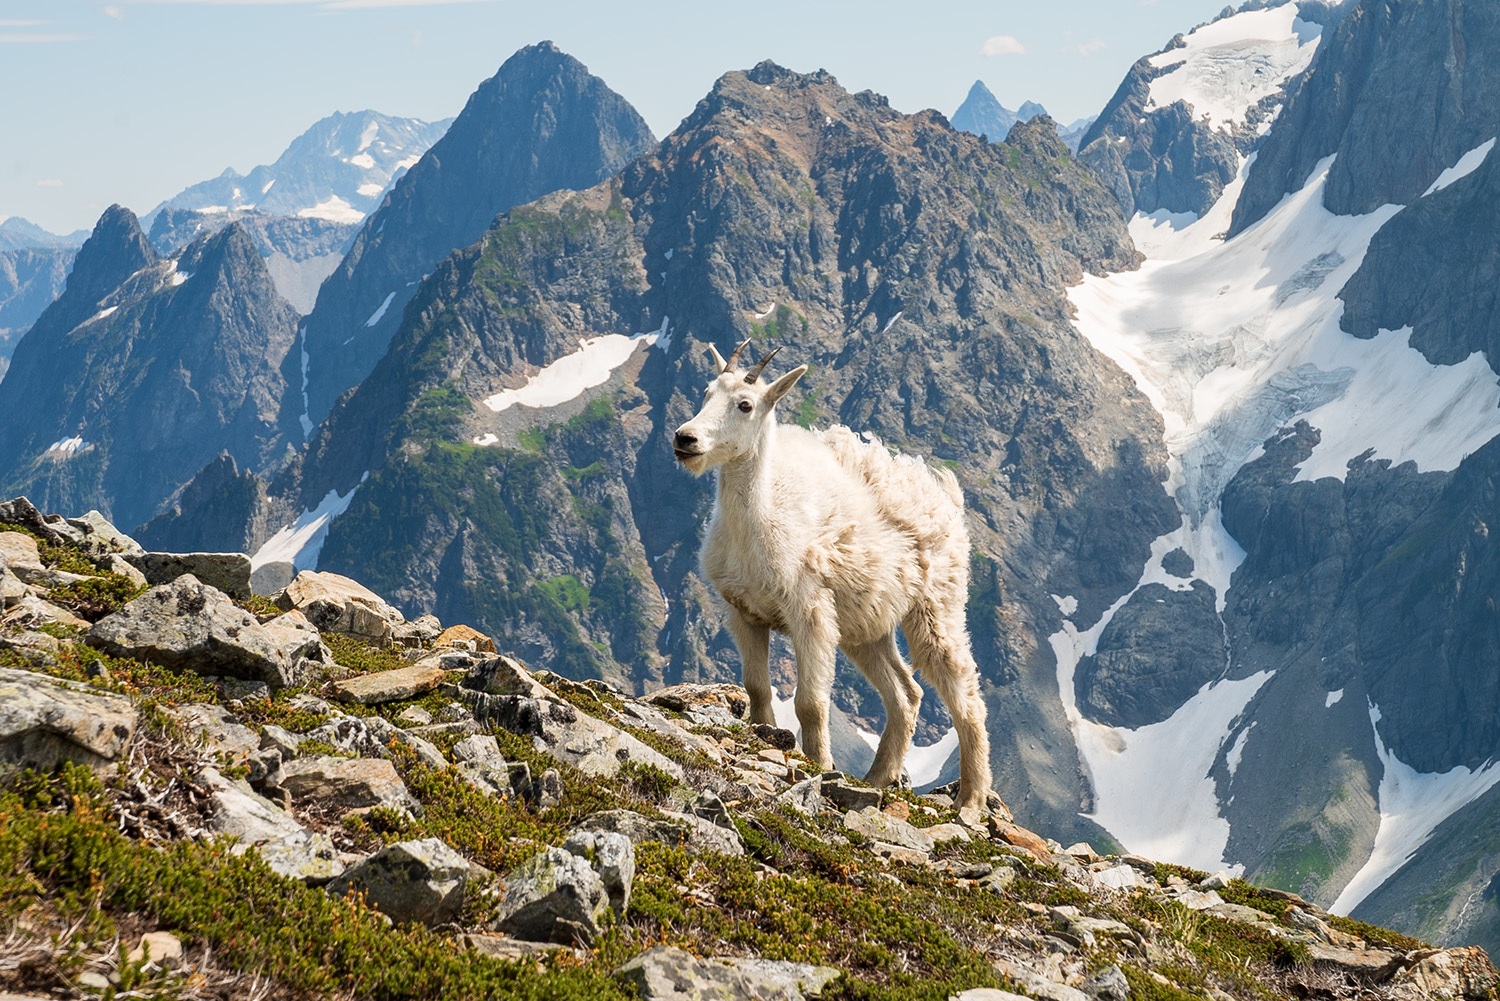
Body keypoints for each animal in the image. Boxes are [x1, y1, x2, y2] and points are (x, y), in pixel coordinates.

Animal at [673, 340, 994, 812]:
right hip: (867, 624)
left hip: (937, 605)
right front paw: (761, 737)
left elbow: (810, 702)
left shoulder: (810, 609)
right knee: (905, 693)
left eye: (745, 404)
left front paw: (820, 764)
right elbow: (756, 686)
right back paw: (879, 777)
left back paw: (970, 799)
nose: (685, 439)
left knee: (965, 694)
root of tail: (948, 498)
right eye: (706, 392)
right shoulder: (744, 611)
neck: (756, 521)